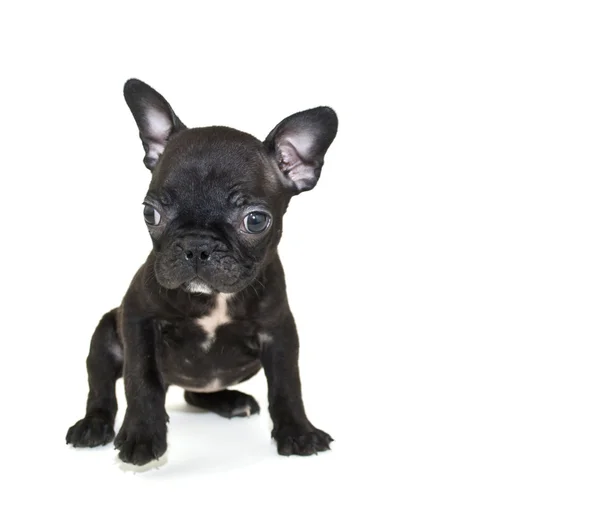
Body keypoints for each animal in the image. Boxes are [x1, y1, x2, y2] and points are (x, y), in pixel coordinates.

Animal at [67, 78, 338, 466]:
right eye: (150, 213)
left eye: (256, 220)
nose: (196, 246)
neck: (213, 299)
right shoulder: (137, 319)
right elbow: (141, 378)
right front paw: (141, 435)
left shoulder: (279, 332)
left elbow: (287, 384)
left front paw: (299, 432)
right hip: (105, 335)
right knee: (101, 386)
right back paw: (93, 425)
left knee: (195, 392)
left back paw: (230, 401)